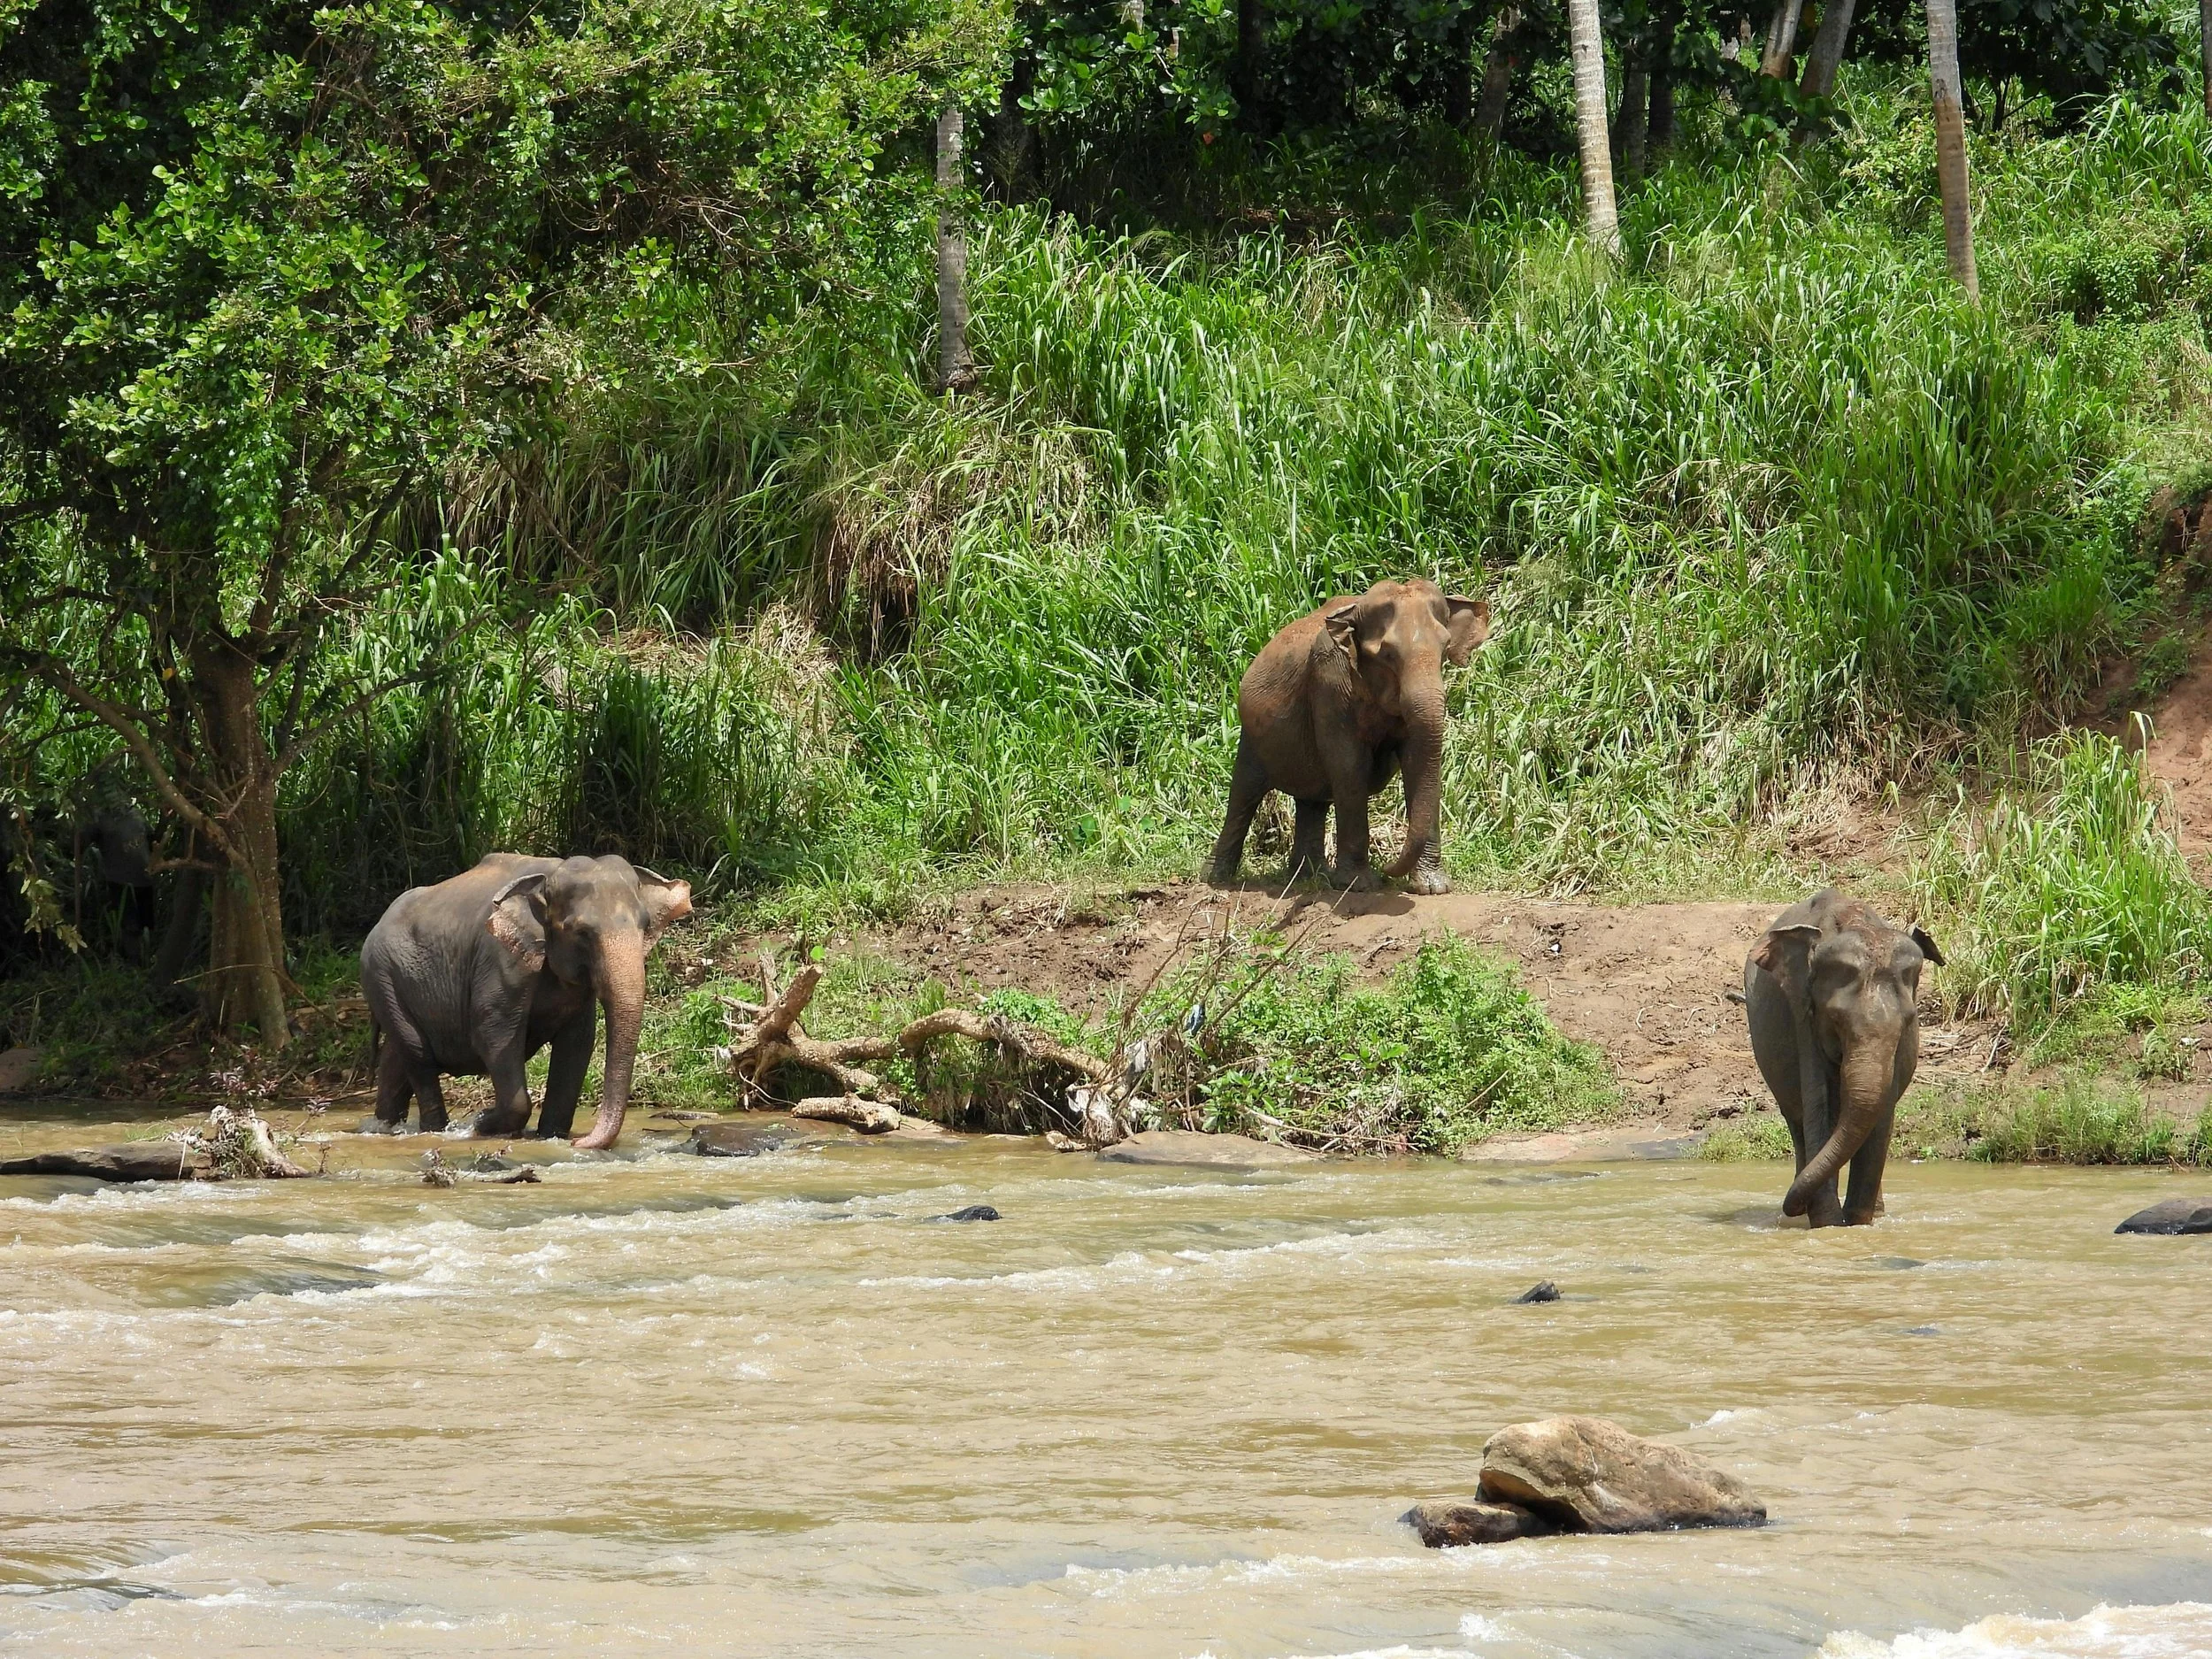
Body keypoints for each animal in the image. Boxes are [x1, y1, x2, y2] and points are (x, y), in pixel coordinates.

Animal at [359, 853, 691, 1148]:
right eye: (582, 932)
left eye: (645, 926)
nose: (580, 1142)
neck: (549, 876)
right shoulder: (500, 960)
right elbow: (494, 1036)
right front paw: (482, 1122)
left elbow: (577, 1044)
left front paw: (551, 1137)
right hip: (381, 975)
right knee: (417, 1053)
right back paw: (434, 1130)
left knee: (398, 1057)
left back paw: (384, 1126)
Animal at [1208, 578, 1490, 894]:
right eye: (1387, 655)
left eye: (1445, 649)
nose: (1387, 870)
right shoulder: (1330, 682)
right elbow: (1349, 766)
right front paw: (1359, 885)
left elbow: (1418, 765)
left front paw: (1432, 888)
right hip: (1252, 735)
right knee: (1244, 792)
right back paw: (1217, 879)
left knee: (1312, 800)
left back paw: (1310, 877)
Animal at [1743, 889, 1943, 1227]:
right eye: (1834, 1019)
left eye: (1909, 1021)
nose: (1792, 1206)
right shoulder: (1804, 1016)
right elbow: (1819, 1104)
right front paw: (1828, 1224)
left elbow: (1881, 1115)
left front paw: (1858, 1224)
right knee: (1798, 1122)